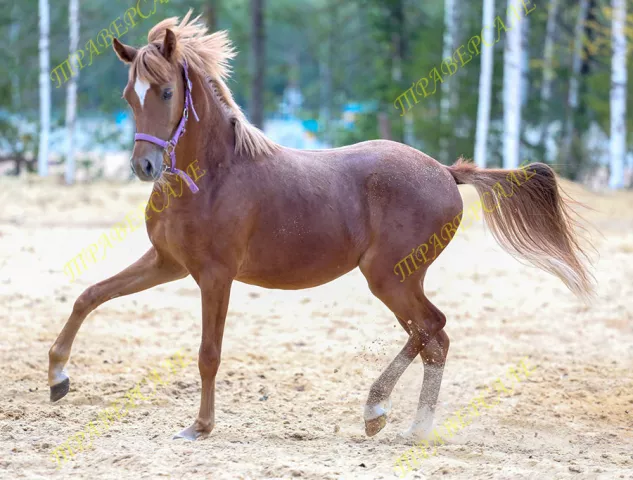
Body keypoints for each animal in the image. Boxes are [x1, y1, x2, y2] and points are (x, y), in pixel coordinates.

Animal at [48, 10, 593, 441]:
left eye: (165, 91)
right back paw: (411, 426)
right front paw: (57, 376)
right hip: (396, 279)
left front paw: (199, 427)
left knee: (432, 330)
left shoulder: (215, 276)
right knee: (434, 339)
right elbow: (89, 296)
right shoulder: (168, 264)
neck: (214, 177)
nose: (145, 167)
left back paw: (378, 411)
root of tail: (445, 171)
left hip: (390, 277)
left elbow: (208, 353)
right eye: (127, 95)